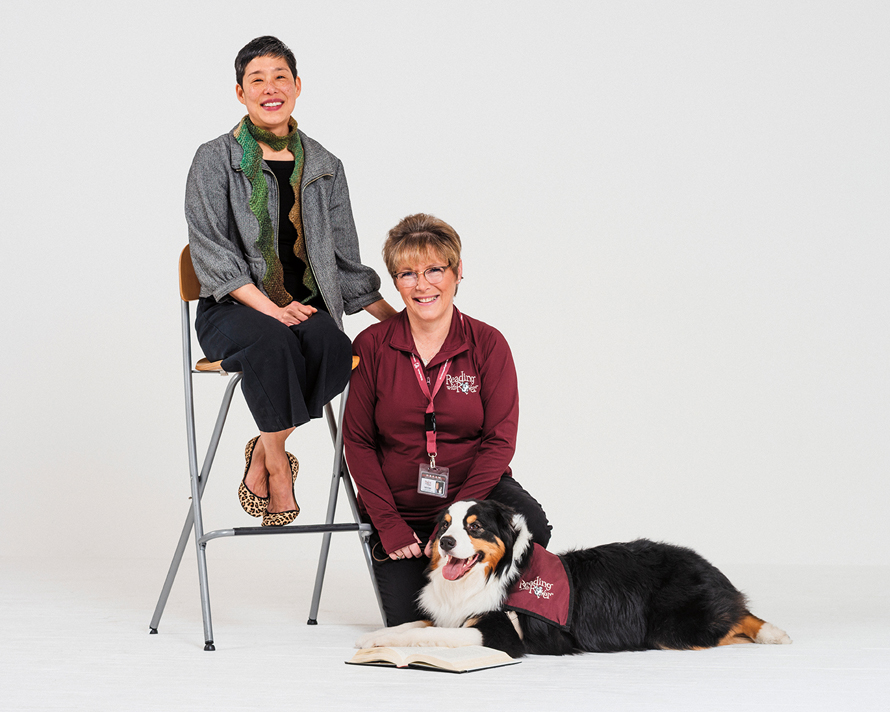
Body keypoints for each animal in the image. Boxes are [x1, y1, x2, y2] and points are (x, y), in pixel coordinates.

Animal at [356, 500, 791, 656]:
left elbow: (437, 636)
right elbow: (412, 625)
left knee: (734, 620)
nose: (445, 542)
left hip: (669, 628)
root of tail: (708, 566)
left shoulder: (502, 634)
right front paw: (374, 638)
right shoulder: (451, 614)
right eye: (445, 525)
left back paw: (772, 632)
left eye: (474, 527)